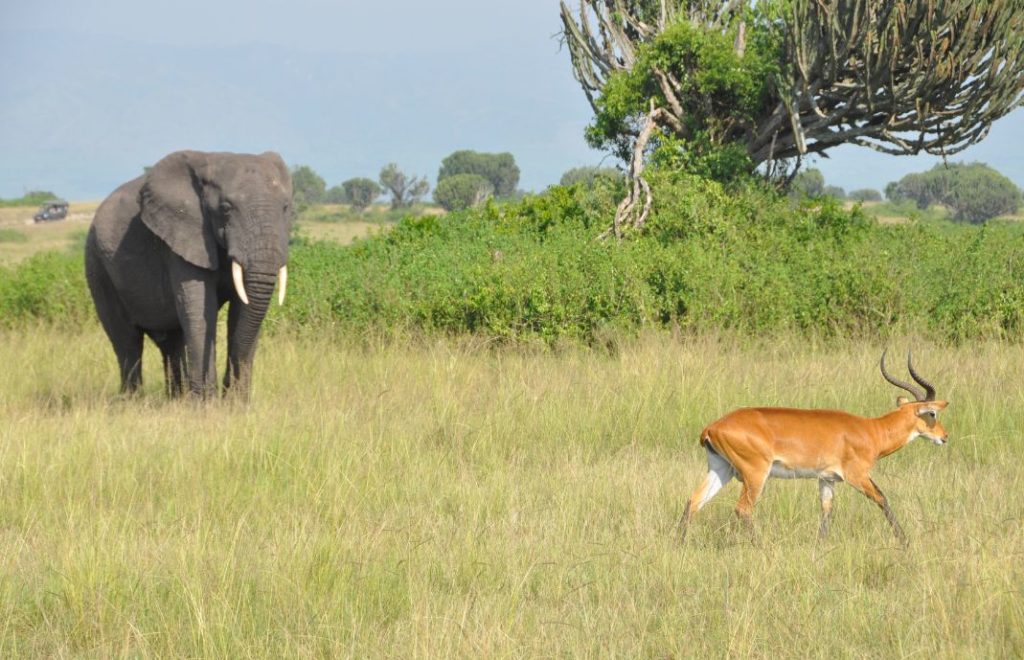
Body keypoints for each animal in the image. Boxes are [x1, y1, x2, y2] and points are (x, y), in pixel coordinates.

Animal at [84, 149, 294, 397]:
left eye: (286, 208)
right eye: (226, 208)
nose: (227, 390)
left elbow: (241, 311)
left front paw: (236, 403)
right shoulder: (182, 235)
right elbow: (202, 312)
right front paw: (208, 403)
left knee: (171, 342)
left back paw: (176, 398)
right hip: (98, 265)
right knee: (127, 342)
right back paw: (132, 399)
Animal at [679, 352, 950, 544]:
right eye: (932, 413)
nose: (944, 437)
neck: (872, 431)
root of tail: (711, 428)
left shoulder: (826, 479)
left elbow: (826, 511)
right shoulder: (857, 476)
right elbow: (882, 498)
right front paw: (905, 542)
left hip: (721, 469)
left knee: (693, 501)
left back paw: (679, 545)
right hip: (755, 474)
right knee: (742, 509)